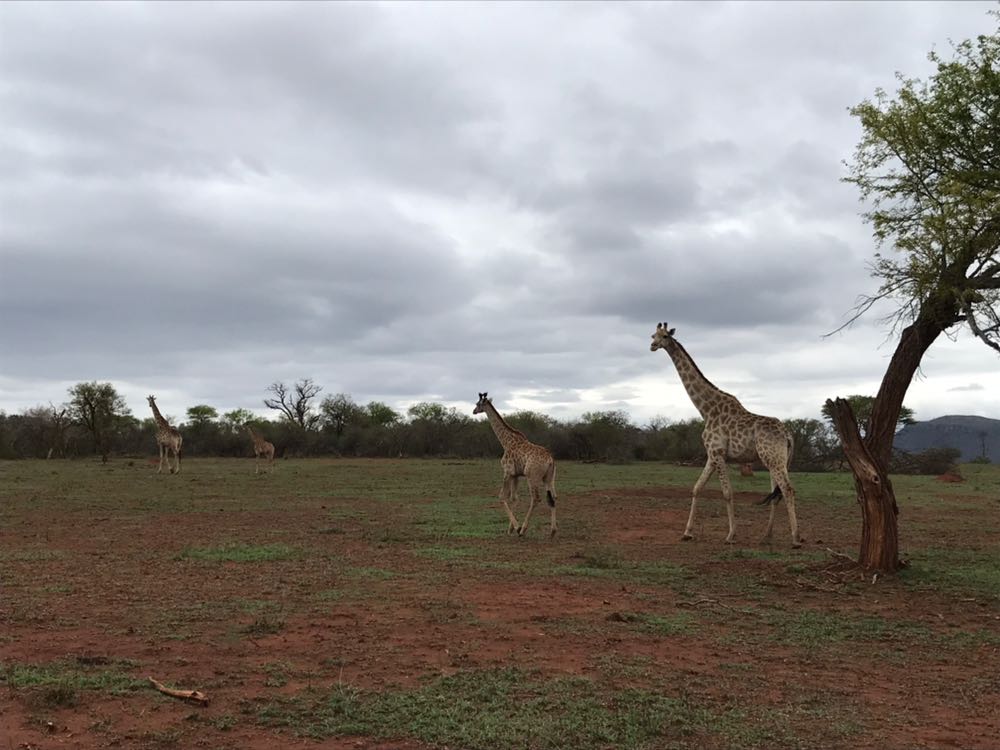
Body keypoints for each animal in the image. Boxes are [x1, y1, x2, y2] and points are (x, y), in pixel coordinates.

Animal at [473, 392, 558, 538]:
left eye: (478, 404)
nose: (474, 411)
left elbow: (502, 497)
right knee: (552, 498)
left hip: (532, 476)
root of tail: (550, 460)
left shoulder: (507, 472)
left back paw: (523, 530)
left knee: (536, 499)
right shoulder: (516, 474)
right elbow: (514, 498)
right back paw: (552, 531)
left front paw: (517, 528)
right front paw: (511, 529)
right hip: (548, 478)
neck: (505, 441)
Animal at [649, 323, 801, 547]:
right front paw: (687, 532)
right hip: (777, 460)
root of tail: (788, 435)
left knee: (787, 490)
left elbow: (727, 493)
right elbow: (697, 488)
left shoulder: (718, 453)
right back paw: (767, 535)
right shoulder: (711, 456)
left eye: (665, 336)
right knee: (778, 492)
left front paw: (730, 535)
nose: (652, 346)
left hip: (773, 459)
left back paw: (796, 538)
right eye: (653, 335)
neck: (707, 410)